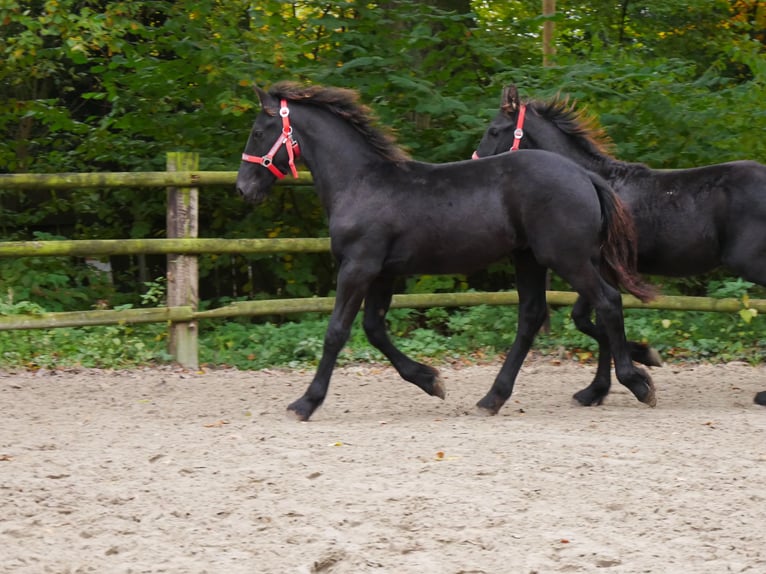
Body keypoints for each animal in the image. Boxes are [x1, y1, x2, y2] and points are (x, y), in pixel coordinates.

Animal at [237, 82, 656, 424]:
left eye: (258, 132)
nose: (243, 188)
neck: (360, 183)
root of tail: (585, 175)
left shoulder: (359, 267)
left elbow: (337, 332)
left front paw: (305, 403)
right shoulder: (383, 272)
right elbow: (374, 329)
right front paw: (430, 380)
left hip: (566, 258)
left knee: (607, 301)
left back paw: (638, 383)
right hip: (530, 259)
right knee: (533, 316)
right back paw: (493, 398)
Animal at [474, 86, 766, 410]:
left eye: (494, 130)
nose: (474, 162)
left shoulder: (596, 266)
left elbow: (598, 319)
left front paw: (627, 371)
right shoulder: (597, 267)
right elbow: (592, 320)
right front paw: (609, 382)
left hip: (751, 262)